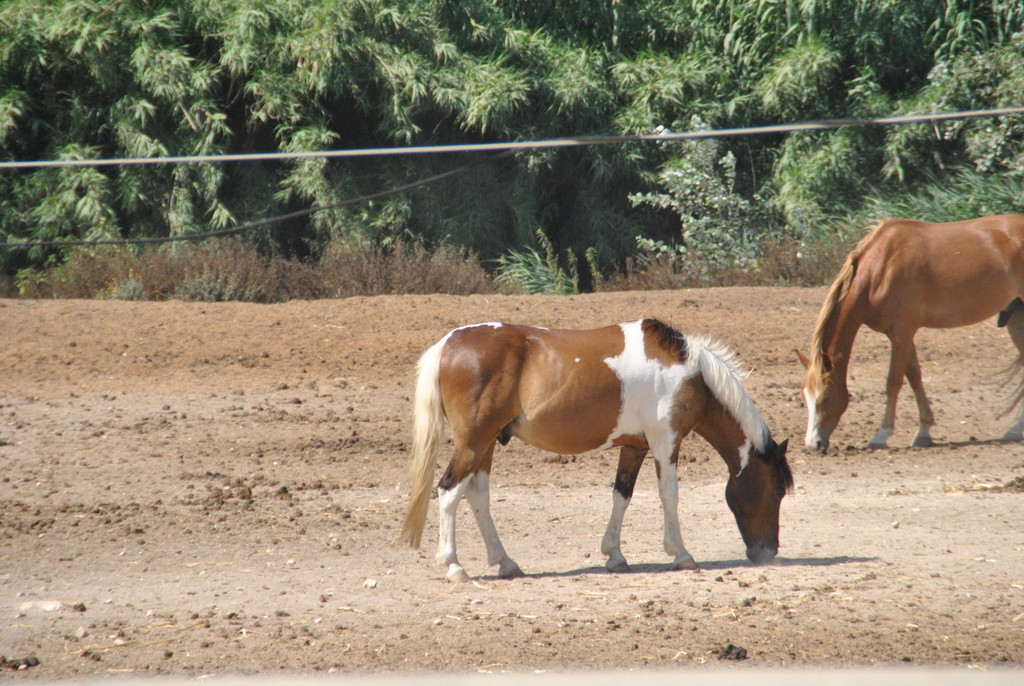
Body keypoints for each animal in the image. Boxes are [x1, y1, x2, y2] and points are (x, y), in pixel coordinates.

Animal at [399, 319, 790, 581]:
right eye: (776, 492)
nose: (768, 552)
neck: (686, 369)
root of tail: (447, 344)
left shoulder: (634, 446)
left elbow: (622, 495)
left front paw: (615, 555)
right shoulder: (666, 439)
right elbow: (669, 494)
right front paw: (680, 553)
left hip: (487, 443)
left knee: (478, 496)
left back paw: (506, 563)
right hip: (474, 442)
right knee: (449, 492)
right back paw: (454, 566)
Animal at [794, 211, 1024, 454]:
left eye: (826, 397)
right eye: (806, 396)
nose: (812, 444)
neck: (880, 270)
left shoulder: (902, 332)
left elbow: (893, 382)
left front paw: (881, 435)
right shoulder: (898, 334)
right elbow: (914, 377)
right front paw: (924, 432)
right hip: (1016, 318)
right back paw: (1013, 430)